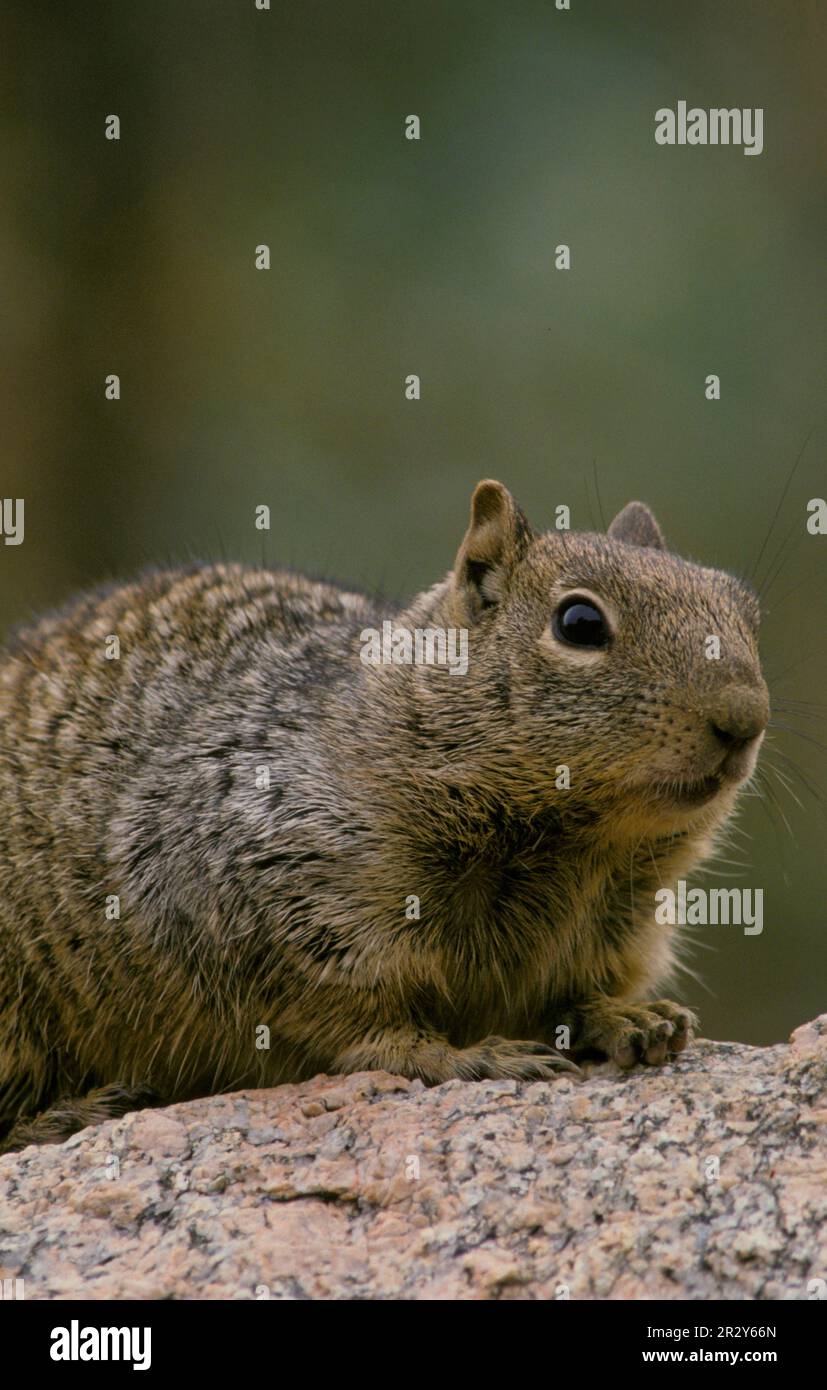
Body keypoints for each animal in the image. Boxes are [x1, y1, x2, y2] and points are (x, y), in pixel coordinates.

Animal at [0, 483, 772, 1156]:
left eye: (747, 613)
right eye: (579, 624)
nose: (745, 720)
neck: (579, 841)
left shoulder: (619, 918)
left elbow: (575, 990)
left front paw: (627, 1017)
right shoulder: (277, 896)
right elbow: (357, 1020)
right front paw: (465, 1056)